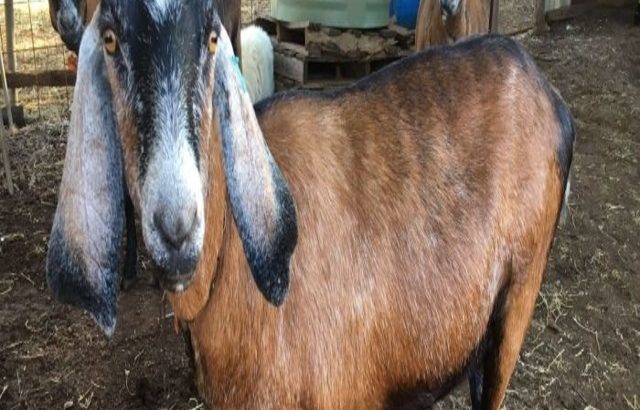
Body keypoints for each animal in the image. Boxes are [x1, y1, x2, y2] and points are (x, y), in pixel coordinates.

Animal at [46, 1, 574, 408]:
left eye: (212, 38)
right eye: (110, 39)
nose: (176, 227)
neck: (230, 257)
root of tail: (543, 88)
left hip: (517, 298)